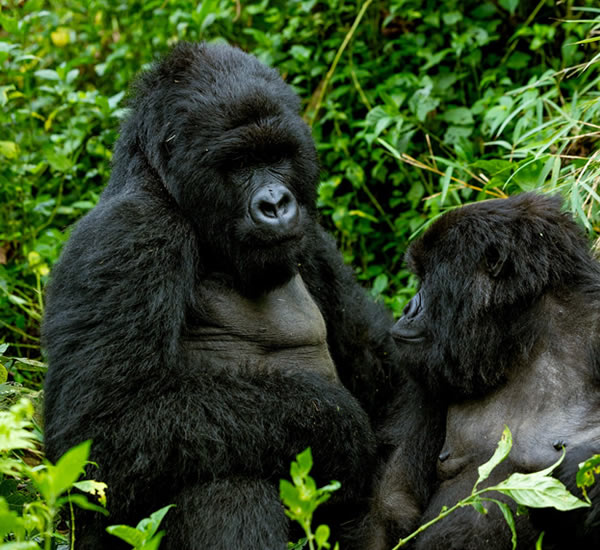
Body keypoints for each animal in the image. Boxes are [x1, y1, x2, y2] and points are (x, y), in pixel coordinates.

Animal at [41, 43, 404, 550]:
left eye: (278, 154)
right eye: (238, 163)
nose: (275, 204)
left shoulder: (311, 238)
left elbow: (375, 358)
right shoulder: (129, 234)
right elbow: (102, 435)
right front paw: (339, 427)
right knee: (227, 482)